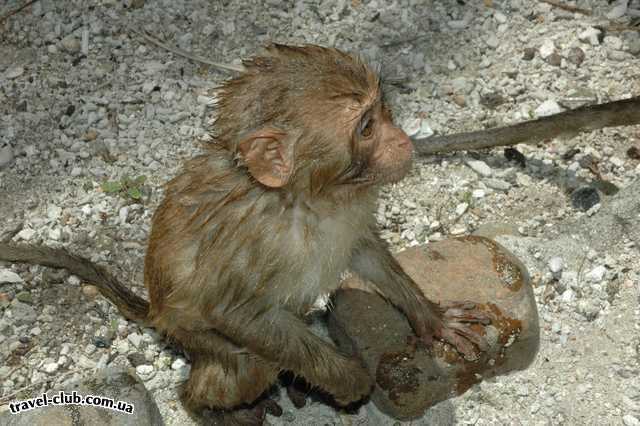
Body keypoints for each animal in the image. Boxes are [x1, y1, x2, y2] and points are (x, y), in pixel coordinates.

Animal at [0, 43, 490, 422]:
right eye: (367, 128)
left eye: (382, 111)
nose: (403, 140)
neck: (308, 201)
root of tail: (156, 311)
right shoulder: (254, 243)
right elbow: (235, 313)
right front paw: (350, 380)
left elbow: (365, 252)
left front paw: (433, 319)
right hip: (192, 333)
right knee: (249, 362)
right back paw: (210, 407)